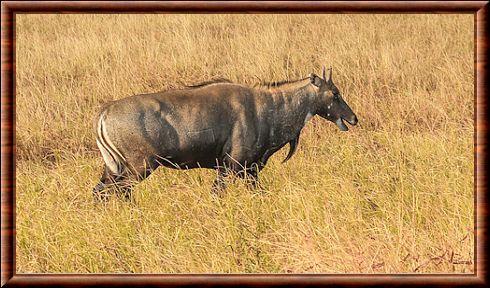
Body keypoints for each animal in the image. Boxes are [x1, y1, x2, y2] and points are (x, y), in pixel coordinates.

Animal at [94, 67, 358, 200]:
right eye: (335, 93)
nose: (353, 118)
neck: (269, 106)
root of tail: (104, 113)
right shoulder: (232, 167)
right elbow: (217, 196)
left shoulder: (248, 171)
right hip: (138, 169)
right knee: (118, 192)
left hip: (114, 169)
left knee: (100, 191)